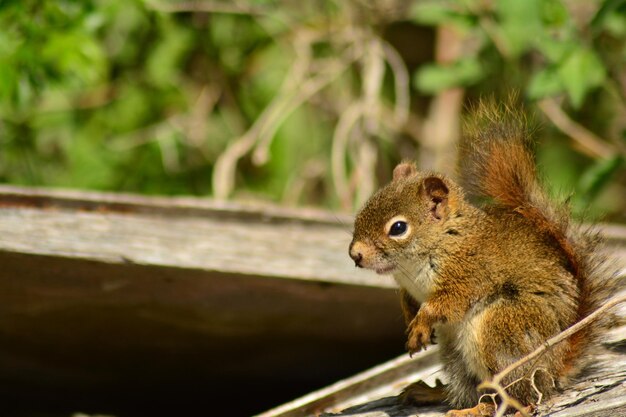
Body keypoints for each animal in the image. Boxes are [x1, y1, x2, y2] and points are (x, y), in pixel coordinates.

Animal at [348, 98, 612, 416]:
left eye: (398, 228)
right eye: (364, 210)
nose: (355, 254)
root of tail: (553, 370)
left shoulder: (467, 273)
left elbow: (444, 304)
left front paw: (421, 323)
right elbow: (408, 299)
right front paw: (411, 316)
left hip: (500, 331)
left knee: (516, 399)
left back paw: (479, 408)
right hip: (455, 351)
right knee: (469, 387)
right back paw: (433, 394)